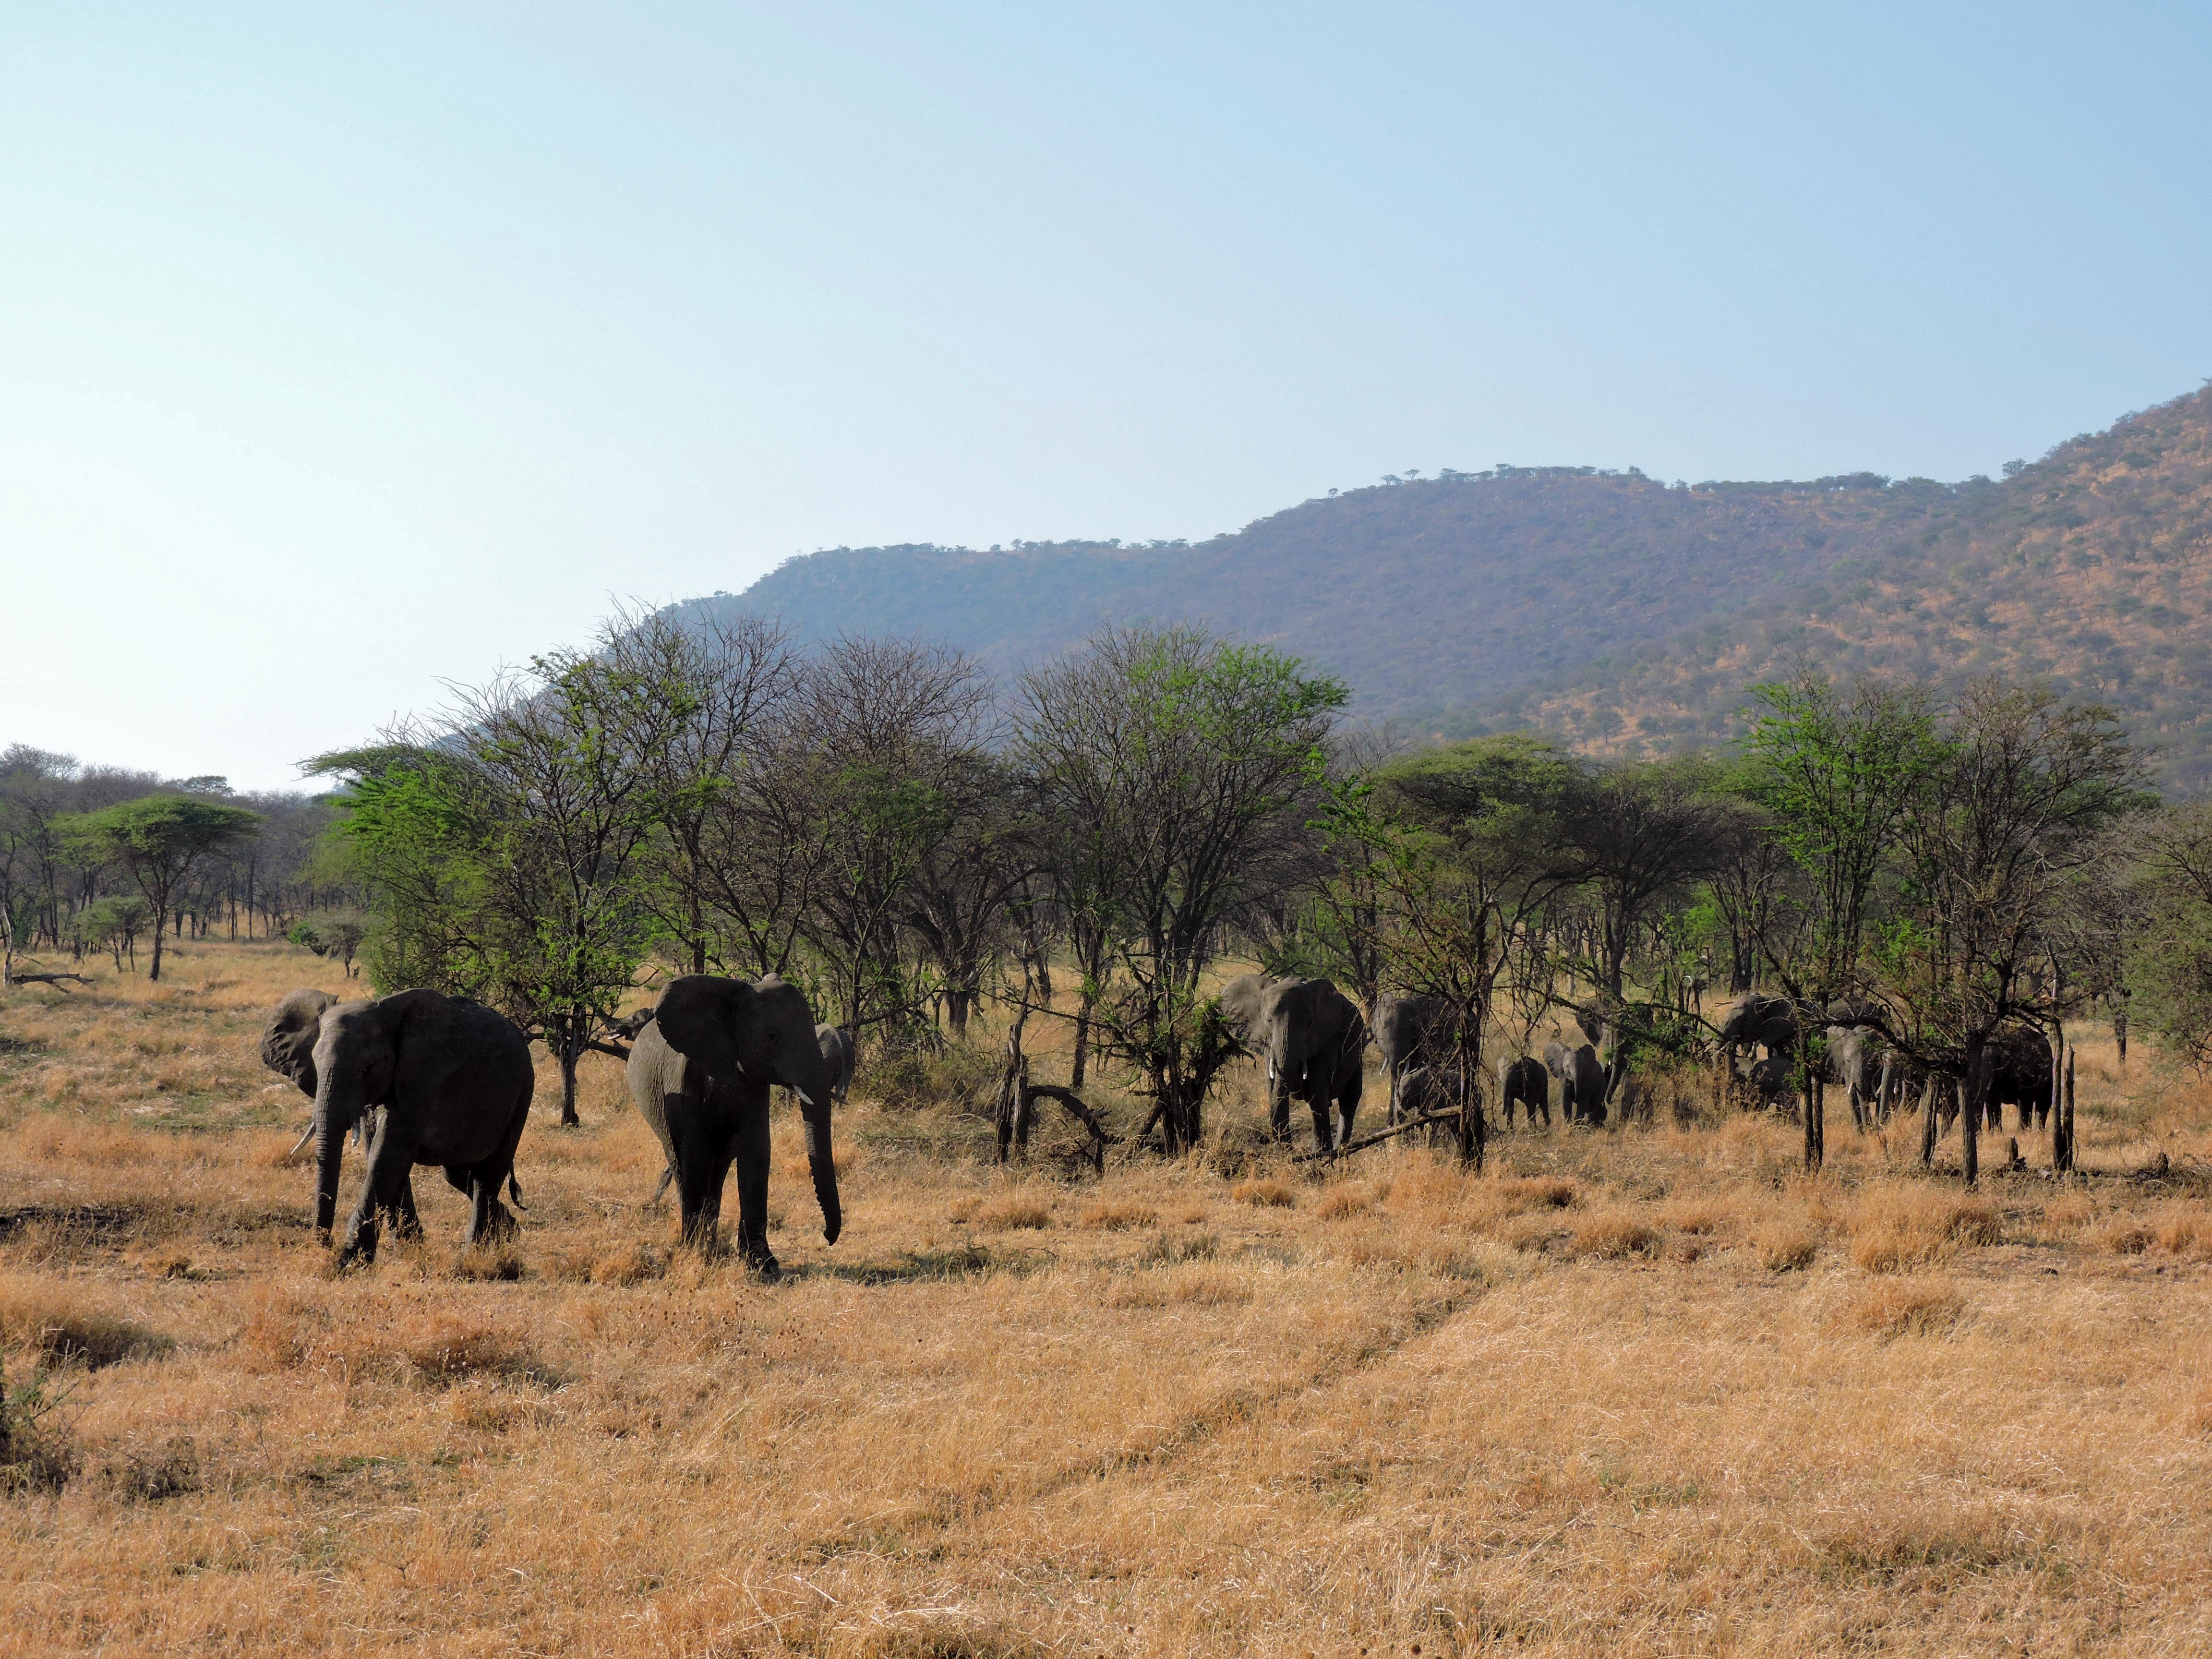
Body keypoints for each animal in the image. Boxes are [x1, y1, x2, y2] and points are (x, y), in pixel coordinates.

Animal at [261, 987, 533, 1266]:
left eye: (368, 1068)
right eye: (315, 1063)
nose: (324, 1245)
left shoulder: (420, 1084)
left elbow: (387, 1158)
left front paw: (351, 1262)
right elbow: (382, 1156)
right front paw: (410, 1250)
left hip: (522, 1092)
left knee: (488, 1176)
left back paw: (474, 1253)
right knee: (458, 1174)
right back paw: (509, 1231)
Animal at [625, 973, 840, 1273]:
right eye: (772, 1037)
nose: (827, 1236)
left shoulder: (755, 1082)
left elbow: (757, 1151)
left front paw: (764, 1267)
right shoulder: (683, 1080)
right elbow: (696, 1154)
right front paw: (697, 1255)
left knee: (719, 1167)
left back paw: (713, 1244)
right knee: (681, 1162)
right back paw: (698, 1243)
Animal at [1495, 1054, 1550, 1128]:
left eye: (1513, 1080)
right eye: (1500, 1080)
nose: (1503, 1114)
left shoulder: (1529, 1082)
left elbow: (1530, 1103)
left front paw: (1533, 1129)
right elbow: (1510, 1104)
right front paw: (1510, 1130)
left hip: (1545, 1083)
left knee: (1542, 1104)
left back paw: (1546, 1126)